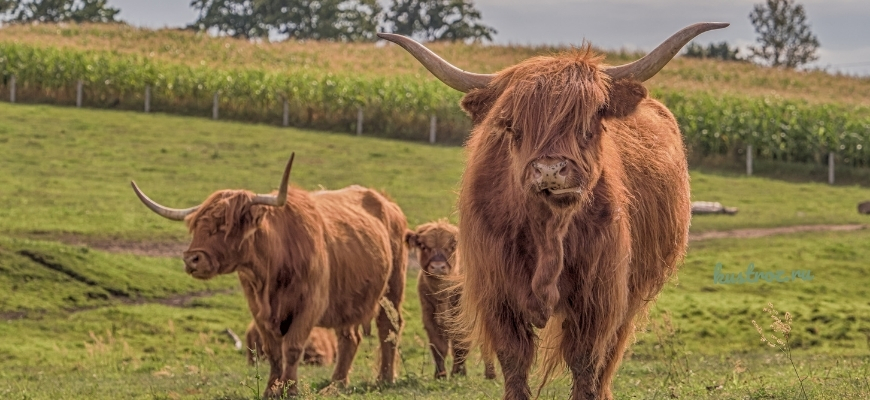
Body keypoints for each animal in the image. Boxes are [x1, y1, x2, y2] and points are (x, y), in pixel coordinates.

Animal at [132, 154, 408, 396]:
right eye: (197, 225)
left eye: (226, 226)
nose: (192, 259)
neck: (272, 269)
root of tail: (387, 202)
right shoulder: (258, 310)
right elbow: (274, 351)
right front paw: (271, 390)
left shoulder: (310, 305)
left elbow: (292, 348)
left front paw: (291, 389)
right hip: (348, 297)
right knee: (349, 337)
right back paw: (336, 384)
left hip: (392, 287)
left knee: (388, 328)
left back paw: (385, 378)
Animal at [404, 220, 494, 380]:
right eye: (423, 246)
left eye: (452, 247)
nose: (438, 267)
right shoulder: (429, 317)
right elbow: (439, 347)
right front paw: (440, 375)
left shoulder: (463, 319)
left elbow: (460, 345)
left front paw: (458, 373)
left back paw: (490, 374)